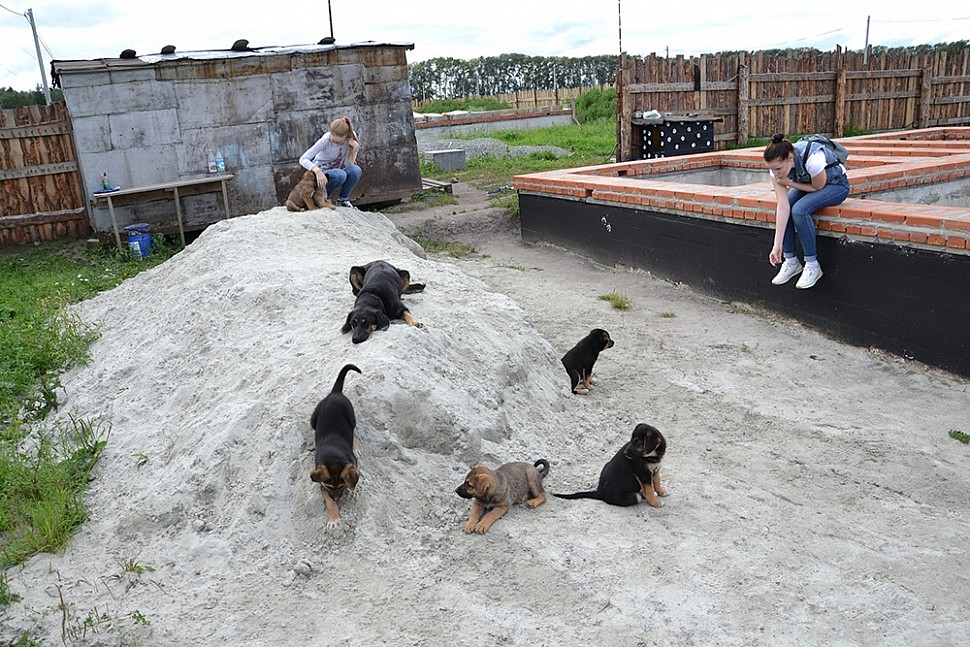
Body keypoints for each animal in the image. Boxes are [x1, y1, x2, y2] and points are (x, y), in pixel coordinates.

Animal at [308, 364, 362, 528]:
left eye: (342, 485)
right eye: (329, 486)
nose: (338, 499)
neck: (333, 456)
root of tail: (334, 393)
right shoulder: (322, 485)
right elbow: (328, 501)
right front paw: (334, 518)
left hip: (351, 416)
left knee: (353, 430)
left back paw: (355, 447)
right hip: (313, 420)